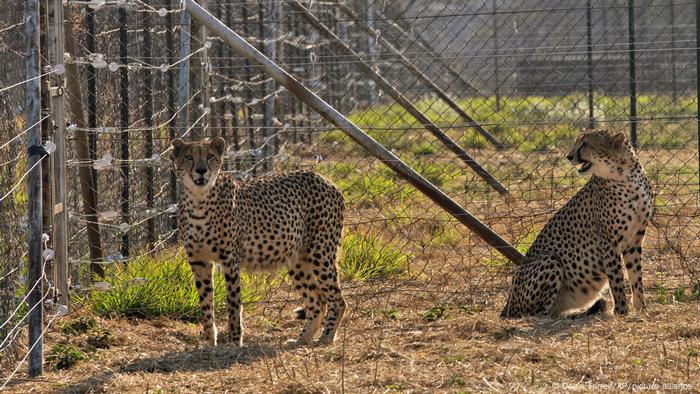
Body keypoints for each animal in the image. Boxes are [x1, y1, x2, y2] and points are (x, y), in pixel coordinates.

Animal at [172, 137, 348, 346]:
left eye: (210, 156)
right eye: (189, 157)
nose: (201, 170)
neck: (198, 201)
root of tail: (323, 178)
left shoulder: (230, 260)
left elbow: (234, 303)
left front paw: (234, 341)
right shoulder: (199, 261)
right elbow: (206, 303)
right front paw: (209, 342)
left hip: (320, 253)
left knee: (337, 300)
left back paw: (326, 337)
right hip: (297, 260)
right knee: (317, 302)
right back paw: (301, 340)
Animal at [500, 131, 652, 318]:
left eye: (585, 144)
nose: (569, 156)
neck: (627, 177)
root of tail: (507, 304)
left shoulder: (634, 240)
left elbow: (636, 276)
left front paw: (641, 309)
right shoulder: (609, 241)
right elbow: (616, 279)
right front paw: (621, 311)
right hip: (550, 259)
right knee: (539, 313)